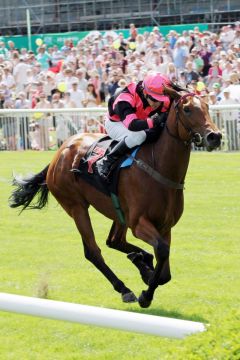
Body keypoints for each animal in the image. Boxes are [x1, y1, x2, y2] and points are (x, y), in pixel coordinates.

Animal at [9, 86, 221, 308]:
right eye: (187, 109)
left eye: (207, 106)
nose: (215, 136)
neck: (160, 168)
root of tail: (58, 153)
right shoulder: (138, 223)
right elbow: (162, 252)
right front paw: (145, 295)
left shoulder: (164, 226)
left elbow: (165, 272)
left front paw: (145, 270)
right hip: (77, 207)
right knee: (93, 251)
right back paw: (124, 288)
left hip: (119, 212)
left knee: (114, 241)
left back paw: (139, 260)